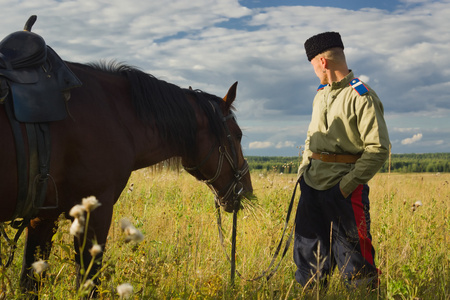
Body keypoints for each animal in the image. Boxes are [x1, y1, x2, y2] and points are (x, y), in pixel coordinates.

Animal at [0, 59, 253, 296]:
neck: (114, 115)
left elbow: (30, 283)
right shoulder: (94, 212)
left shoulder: (43, 216)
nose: (247, 190)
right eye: (238, 135)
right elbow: (88, 284)